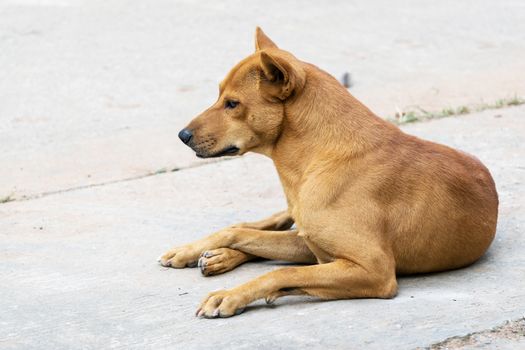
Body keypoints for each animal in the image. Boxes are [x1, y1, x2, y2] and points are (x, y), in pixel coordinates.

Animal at [158, 28, 498, 318]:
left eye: (232, 104)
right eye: (219, 96)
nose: (182, 135)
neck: (320, 156)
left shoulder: (372, 270)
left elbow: (283, 271)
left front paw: (232, 295)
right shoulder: (321, 247)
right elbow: (244, 234)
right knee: (259, 225)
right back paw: (208, 253)